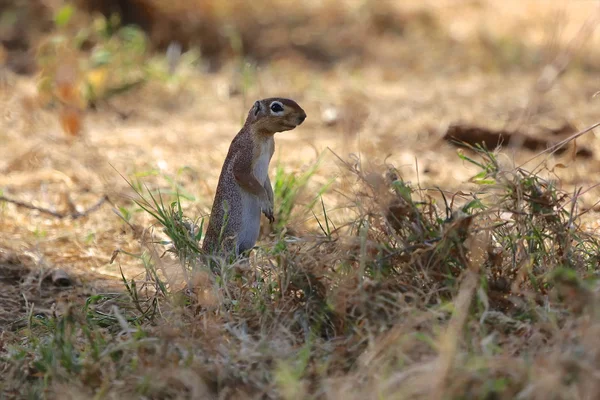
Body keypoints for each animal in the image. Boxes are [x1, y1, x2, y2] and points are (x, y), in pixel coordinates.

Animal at [202, 98, 308, 258]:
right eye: (276, 107)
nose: (303, 116)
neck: (265, 136)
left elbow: (266, 183)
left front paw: (271, 201)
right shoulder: (245, 155)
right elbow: (252, 182)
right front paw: (265, 203)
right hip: (230, 242)